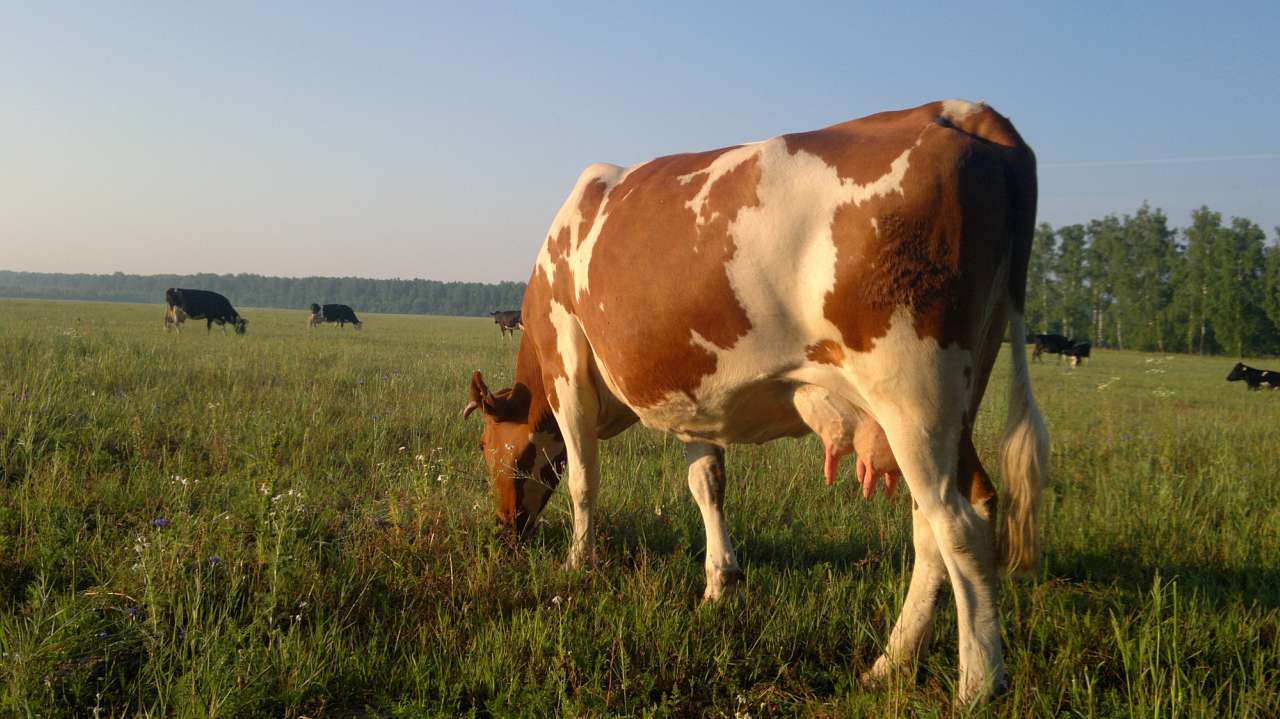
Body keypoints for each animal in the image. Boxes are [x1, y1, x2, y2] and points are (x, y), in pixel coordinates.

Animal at [462, 100, 1048, 705]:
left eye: (487, 448)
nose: (505, 529)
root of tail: (958, 111)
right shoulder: (691, 393)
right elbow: (707, 484)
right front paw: (721, 582)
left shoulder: (567, 363)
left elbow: (583, 480)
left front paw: (580, 563)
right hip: (954, 399)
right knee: (932, 525)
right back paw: (891, 663)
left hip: (914, 394)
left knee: (960, 522)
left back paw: (977, 682)